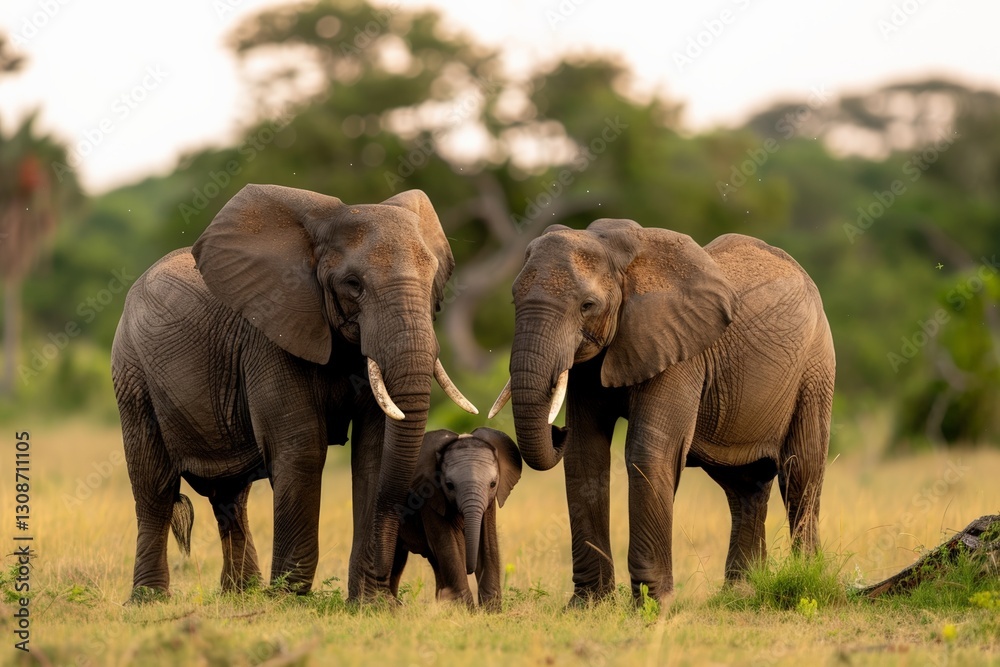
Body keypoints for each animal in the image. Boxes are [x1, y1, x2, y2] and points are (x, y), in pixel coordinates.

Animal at [111, 184, 478, 601]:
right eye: (353, 284)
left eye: (433, 281)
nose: (388, 589)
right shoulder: (270, 336)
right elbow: (302, 447)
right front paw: (289, 599)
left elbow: (373, 452)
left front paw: (369, 604)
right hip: (131, 372)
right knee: (154, 486)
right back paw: (148, 600)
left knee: (230, 496)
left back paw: (240, 594)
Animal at [392, 427, 521, 610]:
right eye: (449, 485)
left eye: (493, 484)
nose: (469, 569)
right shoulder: (430, 498)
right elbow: (449, 543)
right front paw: (467, 611)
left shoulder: (489, 506)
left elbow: (488, 543)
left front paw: (491, 611)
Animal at [489, 219, 835, 605]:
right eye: (514, 299)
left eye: (587, 305)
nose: (556, 430)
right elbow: (584, 454)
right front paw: (587, 606)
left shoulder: (680, 349)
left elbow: (649, 452)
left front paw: (655, 606)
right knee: (744, 486)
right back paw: (740, 594)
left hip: (815, 366)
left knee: (801, 472)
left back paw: (805, 578)